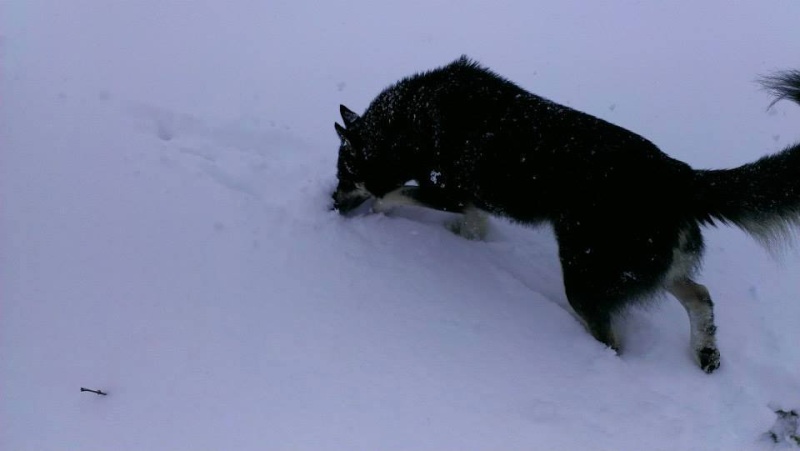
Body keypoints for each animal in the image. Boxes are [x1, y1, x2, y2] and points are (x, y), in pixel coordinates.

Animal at [332, 57, 800, 374]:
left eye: (343, 174)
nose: (331, 205)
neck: (409, 120)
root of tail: (678, 176)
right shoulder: (469, 203)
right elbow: (473, 225)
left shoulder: (447, 191)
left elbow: (392, 195)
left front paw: (381, 211)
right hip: (644, 266)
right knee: (699, 294)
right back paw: (705, 351)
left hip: (585, 278)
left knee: (613, 338)